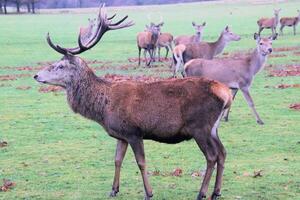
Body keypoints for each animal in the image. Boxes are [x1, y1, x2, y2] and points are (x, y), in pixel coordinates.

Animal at [34, 4, 233, 200]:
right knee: (223, 152)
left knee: (212, 156)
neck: (104, 109)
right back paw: (216, 191)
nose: (36, 75)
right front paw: (114, 190)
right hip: (213, 128)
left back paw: (202, 192)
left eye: (60, 66)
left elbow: (141, 162)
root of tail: (226, 94)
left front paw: (149, 193)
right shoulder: (121, 135)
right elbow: (117, 160)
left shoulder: (134, 132)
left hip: (199, 126)